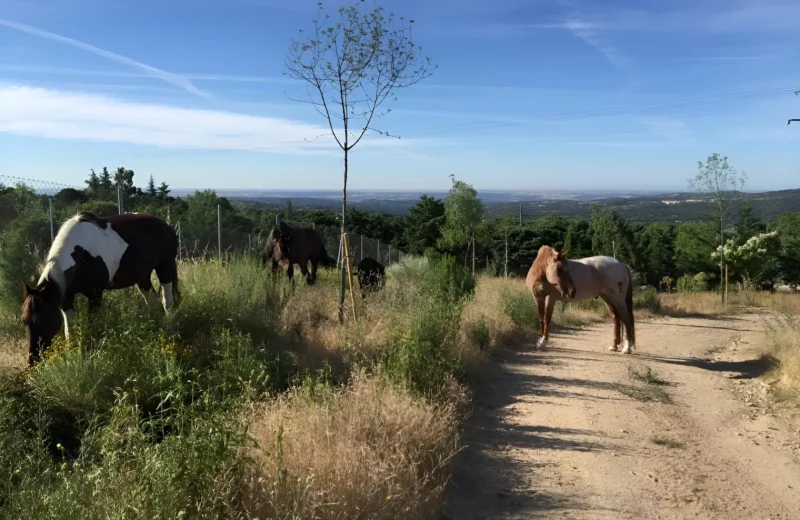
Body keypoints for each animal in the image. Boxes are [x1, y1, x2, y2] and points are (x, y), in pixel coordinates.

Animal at [20, 211, 180, 366]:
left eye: (43, 320)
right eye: (24, 321)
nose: (32, 361)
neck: (82, 255)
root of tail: (167, 227)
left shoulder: (95, 294)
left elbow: (93, 324)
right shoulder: (66, 298)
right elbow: (69, 331)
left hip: (165, 268)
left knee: (167, 301)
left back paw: (169, 329)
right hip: (142, 277)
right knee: (152, 300)